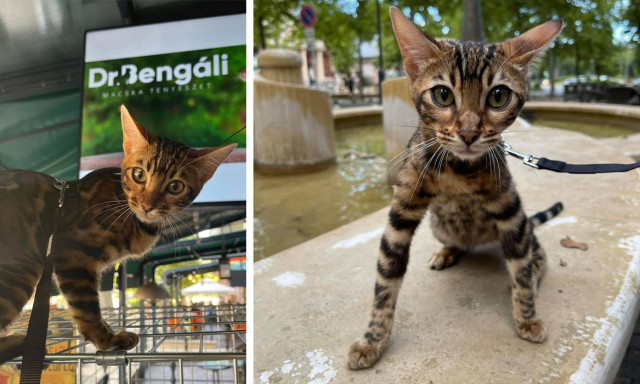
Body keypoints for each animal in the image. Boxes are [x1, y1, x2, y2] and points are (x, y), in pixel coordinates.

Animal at [0, 105, 236, 364]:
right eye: (139, 175)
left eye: (175, 186)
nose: (147, 205)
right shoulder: (72, 253)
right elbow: (87, 308)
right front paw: (107, 340)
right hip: (22, 269)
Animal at [348, 6, 564, 368]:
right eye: (443, 94)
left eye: (499, 96)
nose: (468, 133)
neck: (457, 170)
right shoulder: (400, 212)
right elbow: (385, 281)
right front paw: (372, 341)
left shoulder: (511, 209)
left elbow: (520, 270)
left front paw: (527, 317)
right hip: (440, 225)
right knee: (459, 243)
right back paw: (448, 251)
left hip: (521, 226)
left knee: (535, 251)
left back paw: (533, 272)